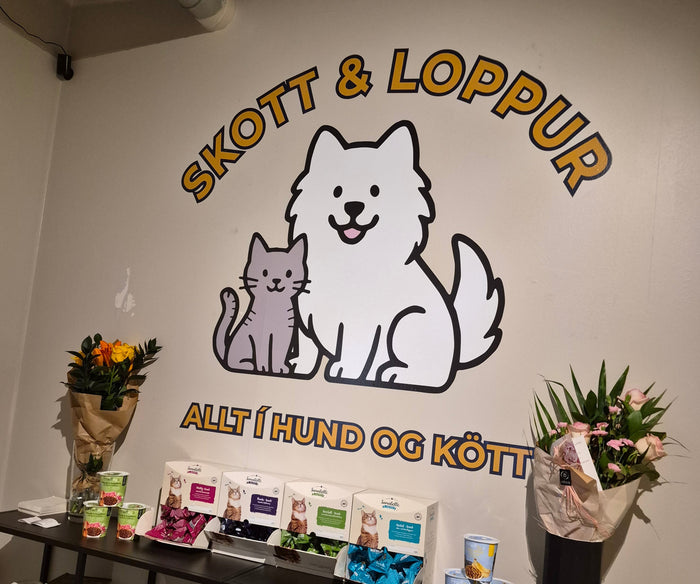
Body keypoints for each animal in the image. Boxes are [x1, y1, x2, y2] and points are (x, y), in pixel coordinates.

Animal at [213, 232, 308, 374]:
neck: (274, 307)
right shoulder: (259, 337)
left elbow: (280, 354)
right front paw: (263, 368)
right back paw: (250, 365)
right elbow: (262, 352)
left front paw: (280, 369)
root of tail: (226, 354)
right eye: (264, 272)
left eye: (289, 273)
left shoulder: (284, 335)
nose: (276, 280)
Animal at [285, 120, 504, 391]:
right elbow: (307, 346)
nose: (353, 206)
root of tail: (457, 350)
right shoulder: (306, 311)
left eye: (375, 191)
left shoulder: (361, 321)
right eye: (337, 191)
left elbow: (354, 347)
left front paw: (344, 370)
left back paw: (395, 373)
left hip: (408, 320)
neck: (351, 257)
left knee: (432, 374)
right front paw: (298, 369)